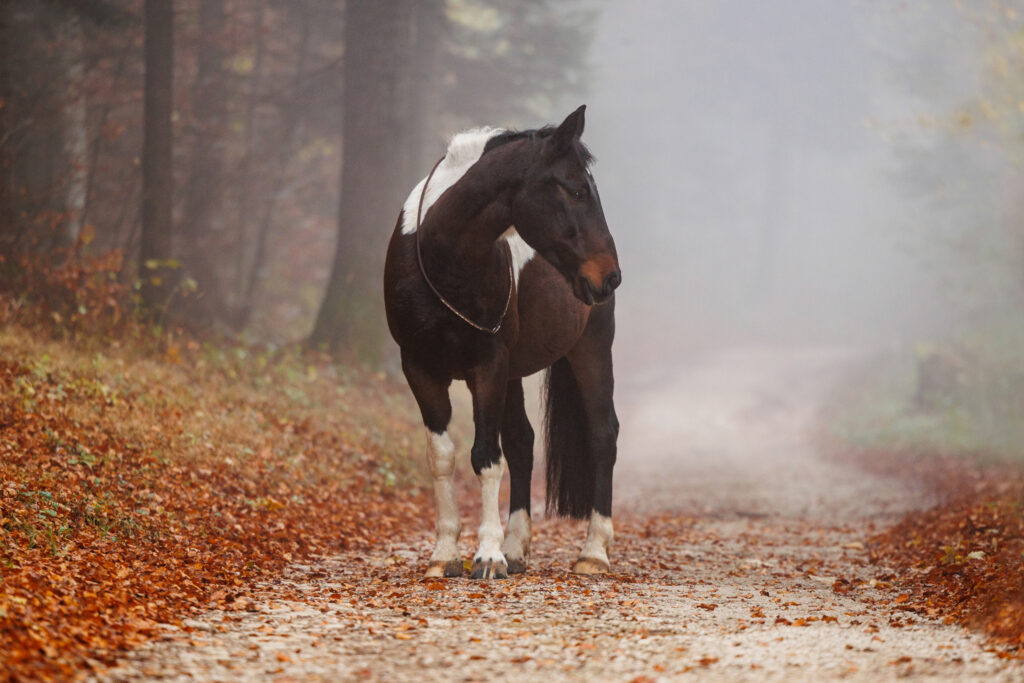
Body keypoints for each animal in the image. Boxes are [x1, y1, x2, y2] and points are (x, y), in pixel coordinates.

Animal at [383, 105, 621, 579]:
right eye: (577, 190)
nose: (611, 275)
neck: (444, 256)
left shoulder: (487, 365)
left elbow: (485, 457)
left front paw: (487, 555)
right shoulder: (419, 367)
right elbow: (444, 456)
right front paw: (445, 554)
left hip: (590, 349)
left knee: (603, 434)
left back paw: (593, 552)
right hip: (513, 372)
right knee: (523, 443)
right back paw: (516, 546)